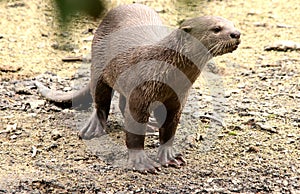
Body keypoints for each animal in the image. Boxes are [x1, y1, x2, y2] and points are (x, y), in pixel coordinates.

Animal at [35, 3, 241, 173]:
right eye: (216, 29)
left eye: (232, 24)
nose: (236, 33)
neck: (164, 71)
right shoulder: (141, 94)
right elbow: (133, 130)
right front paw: (141, 162)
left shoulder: (177, 99)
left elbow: (169, 128)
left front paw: (169, 155)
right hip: (99, 68)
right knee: (100, 99)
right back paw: (93, 128)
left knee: (121, 102)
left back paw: (149, 125)